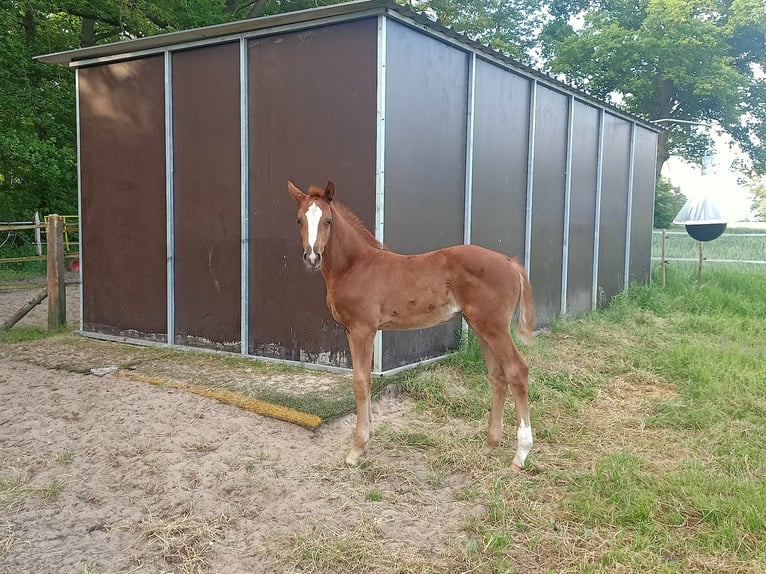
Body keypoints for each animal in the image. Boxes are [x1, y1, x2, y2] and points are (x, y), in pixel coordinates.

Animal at [288, 180, 535, 470]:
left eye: (328, 220)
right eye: (299, 220)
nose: (312, 257)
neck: (355, 266)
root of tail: (509, 262)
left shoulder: (363, 329)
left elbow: (360, 382)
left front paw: (357, 448)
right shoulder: (352, 330)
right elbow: (365, 381)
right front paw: (367, 437)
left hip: (494, 327)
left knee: (517, 371)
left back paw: (520, 455)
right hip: (479, 326)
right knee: (498, 375)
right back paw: (488, 446)